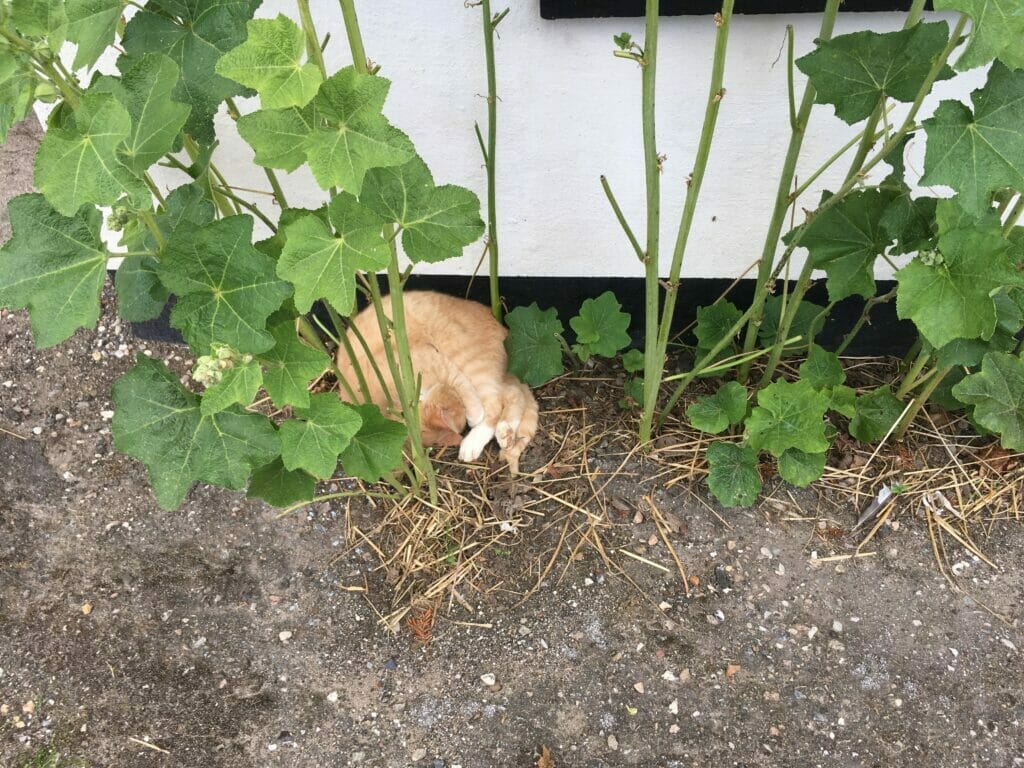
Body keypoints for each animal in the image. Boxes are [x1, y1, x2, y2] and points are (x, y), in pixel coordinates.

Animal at [337, 290, 544, 475]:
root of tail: (504, 329)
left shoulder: (435, 359)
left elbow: (462, 386)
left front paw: (474, 414)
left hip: (469, 357)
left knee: (496, 402)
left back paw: (475, 441)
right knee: (513, 395)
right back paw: (505, 433)